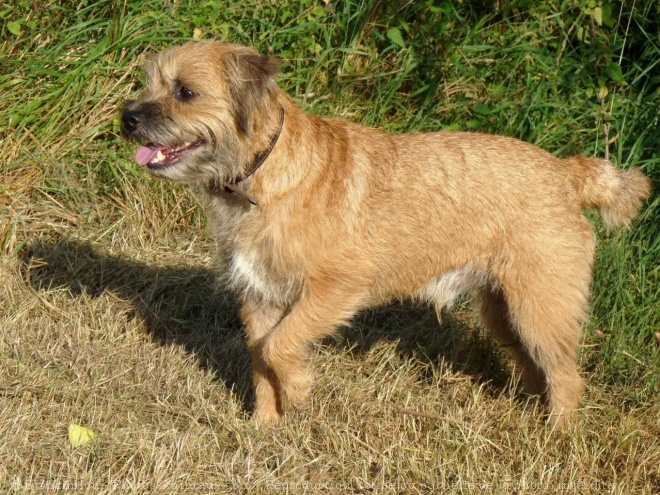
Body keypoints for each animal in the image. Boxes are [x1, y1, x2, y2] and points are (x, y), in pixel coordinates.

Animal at [121, 40, 652, 428]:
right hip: (508, 311)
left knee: (567, 376)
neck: (263, 174)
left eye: (185, 92)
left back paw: (556, 437)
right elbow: (261, 359)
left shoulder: (333, 289)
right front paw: (264, 427)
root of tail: (569, 174)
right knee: (536, 366)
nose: (128, 117)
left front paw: (299, 394)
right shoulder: (261, 297)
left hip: (540, 306)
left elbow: (279, 347)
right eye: (150, 83)